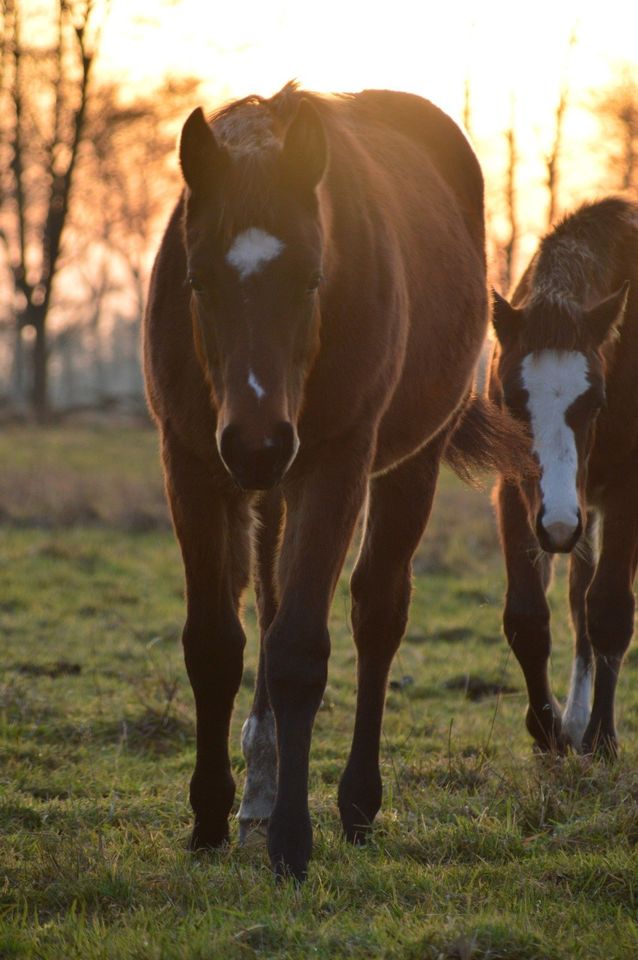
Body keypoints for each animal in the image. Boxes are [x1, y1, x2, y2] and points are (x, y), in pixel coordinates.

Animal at [144, 82, 524, 876]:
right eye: (198, 279)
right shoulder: (191, 464)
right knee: (268, 601)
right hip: (266, 489)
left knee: (376, 614)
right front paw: (209, 821)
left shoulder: (333, 468)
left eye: (311, 278)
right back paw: (258, 793)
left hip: (404, 465)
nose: (257, 441)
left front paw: (292, 842)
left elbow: (299, 650)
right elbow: (215, 644)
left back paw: (356, 804)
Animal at [492, 197, 636, 756]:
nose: (556, 526)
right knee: (577, 596)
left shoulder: (624, 495)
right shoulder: (516, 492)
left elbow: (611, 609)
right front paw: (548, 729)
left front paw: (602, 739)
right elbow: (529, 616)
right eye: (512, 401)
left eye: (594, 401)